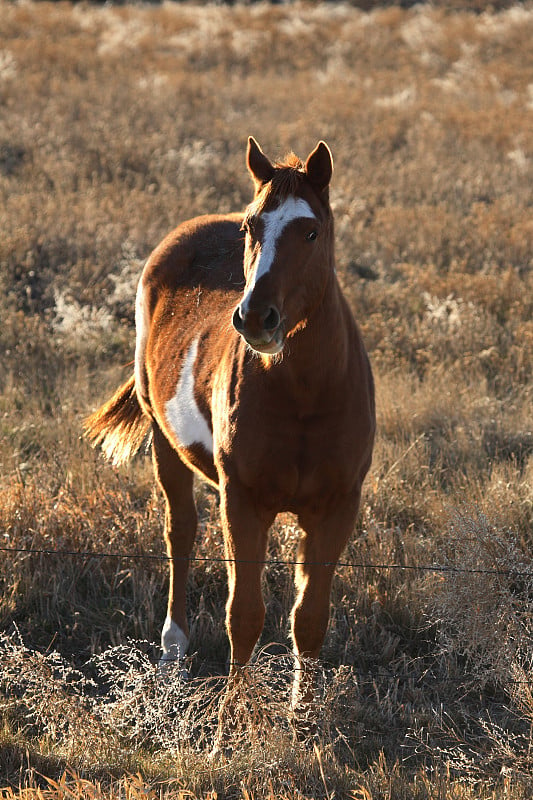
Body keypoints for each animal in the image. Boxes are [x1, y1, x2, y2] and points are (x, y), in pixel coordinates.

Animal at [84, 136, 374, 732]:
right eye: (252, 226)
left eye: (311, 231)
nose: (256, 317)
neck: (307, 394)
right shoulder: (244, 501)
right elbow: (244, 614)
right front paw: (231, 727)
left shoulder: (338, 506)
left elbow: (310, 618)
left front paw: (303, 719)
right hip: (164, 444)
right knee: (181, 534)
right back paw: (173, 650)